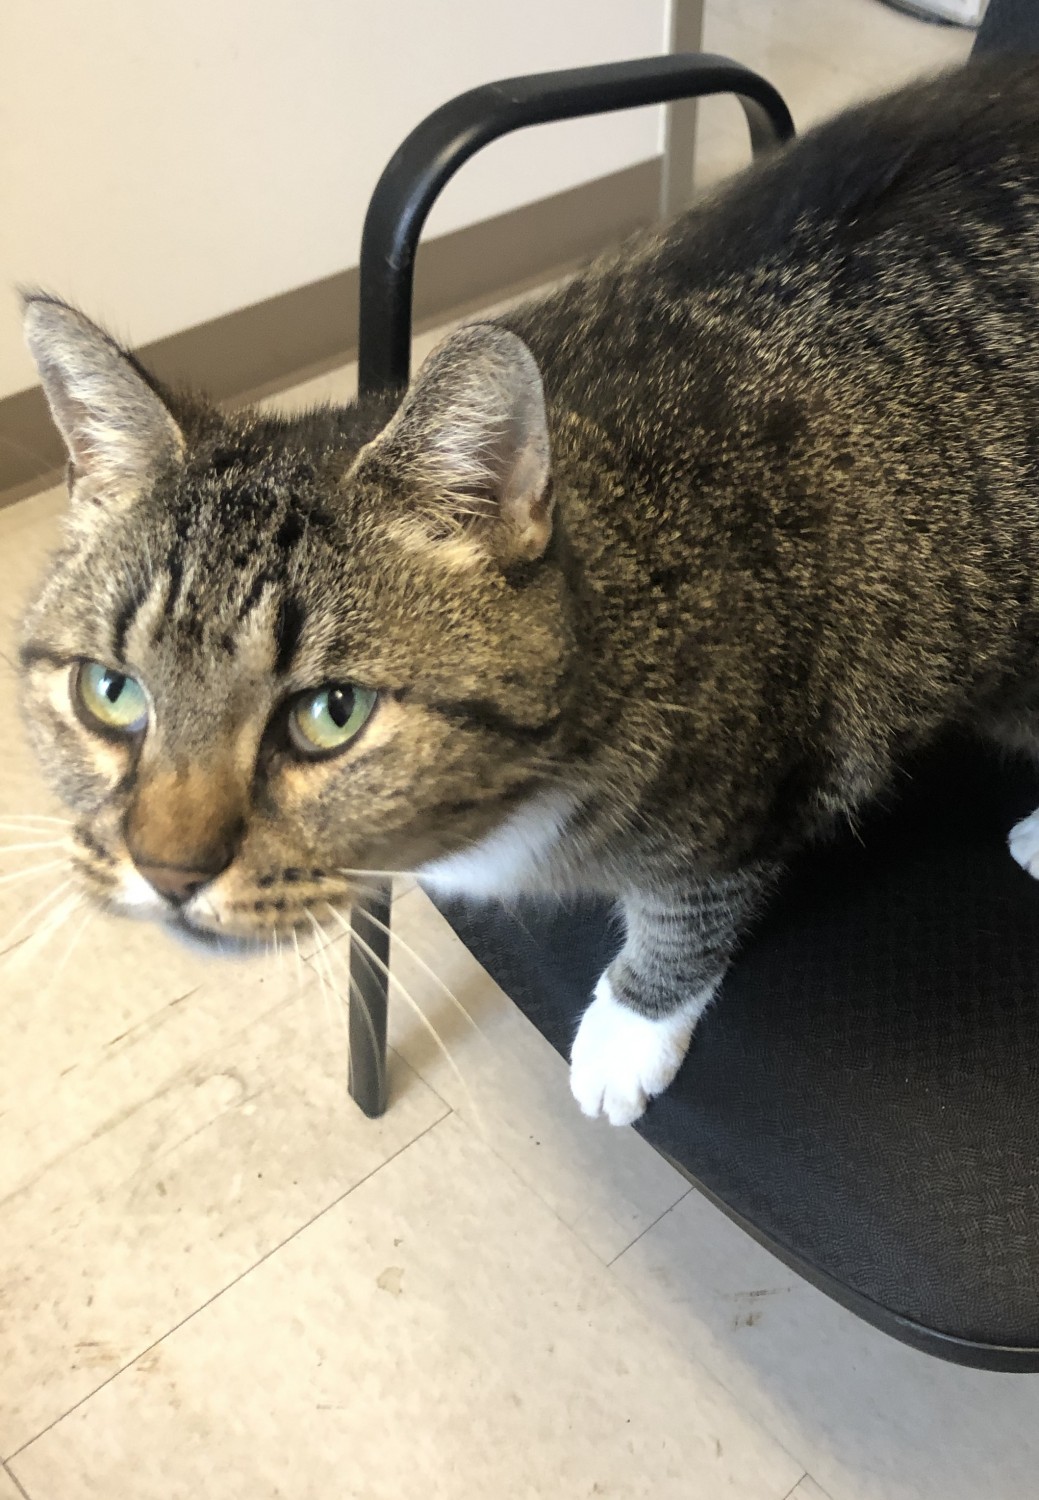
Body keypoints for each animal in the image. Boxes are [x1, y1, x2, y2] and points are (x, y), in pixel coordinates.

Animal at [18, 61, 1039, 1128]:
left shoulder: (751, 792)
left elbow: (686, 914)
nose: (166, 869)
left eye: (331, 712)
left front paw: (629, 1031)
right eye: (110, 691)